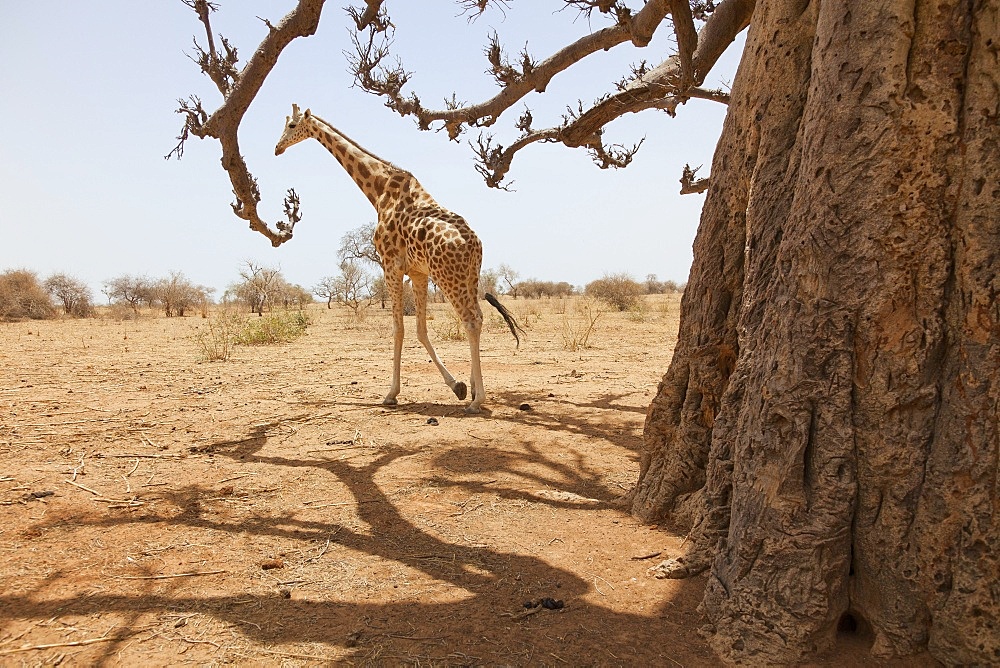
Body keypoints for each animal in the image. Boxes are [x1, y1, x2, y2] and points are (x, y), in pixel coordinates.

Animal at [274, 103, 524, 412]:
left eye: (292, 125)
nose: (277, 147)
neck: (379, 191)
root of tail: (473, 244)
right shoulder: (418, 272)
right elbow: (420, 329)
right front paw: (457, 386)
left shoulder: (390, 264)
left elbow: (398, 329)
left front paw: (391, 393)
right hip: (469, 276)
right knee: (477, 317)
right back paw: (474, 388)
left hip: (448, 277)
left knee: (471, 320)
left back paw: (478, 401)